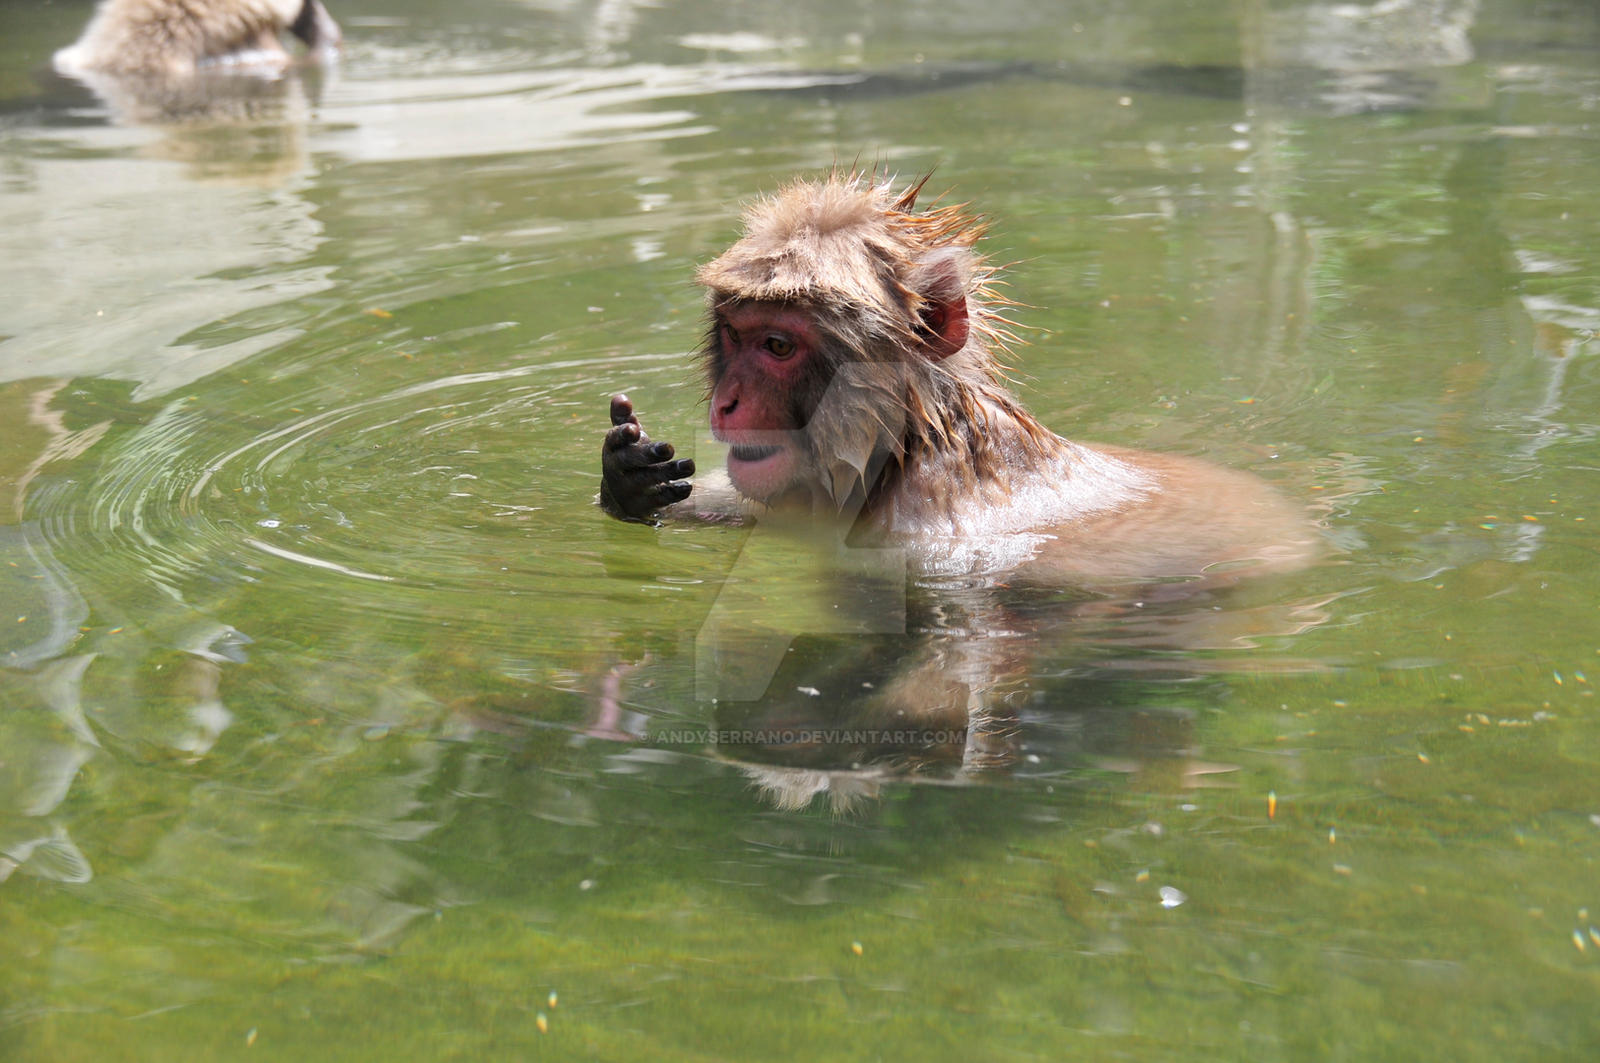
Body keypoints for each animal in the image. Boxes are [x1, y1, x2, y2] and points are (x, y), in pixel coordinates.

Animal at [595, 176, 1318, 589]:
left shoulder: (924, 532)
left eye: (777, 345)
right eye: (734, 335)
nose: (728, 402)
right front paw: (630, 479)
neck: (913, 445)